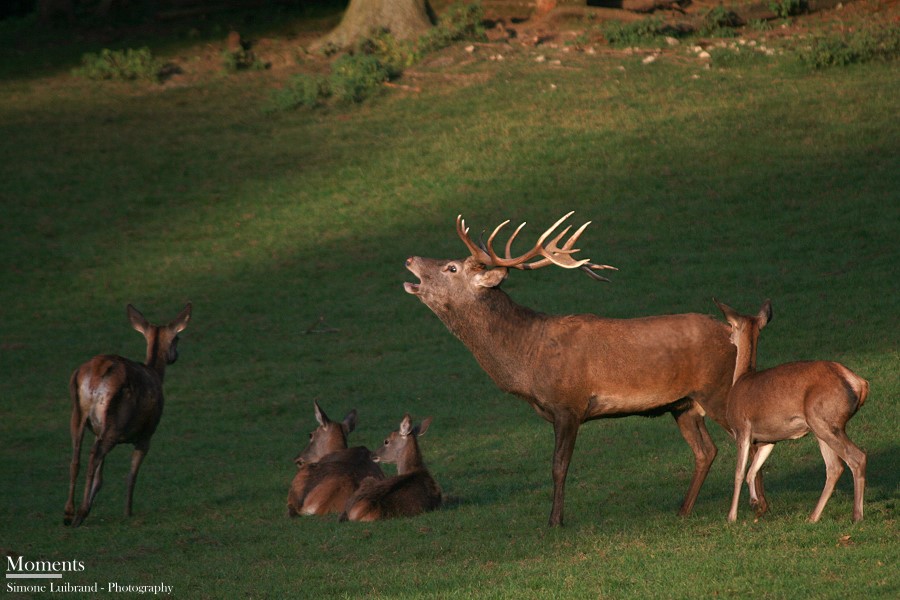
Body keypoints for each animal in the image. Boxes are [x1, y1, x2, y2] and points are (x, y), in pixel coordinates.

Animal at [63, 304, 192, 524]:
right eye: (177, 338)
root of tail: (97, 372)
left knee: (75, 459)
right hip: (116, 421)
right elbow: (131, 475)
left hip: (79, 414)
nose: (175, 356)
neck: (156, 374)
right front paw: (128, 511)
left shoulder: (97, 431)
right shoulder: (147, 433)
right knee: (94, 456)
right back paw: (81, 513)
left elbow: (100, 478)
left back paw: (69, 512)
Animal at [404, 212, 748, 524]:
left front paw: (554, 521)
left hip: (718, 389)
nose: (409, 259)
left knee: (745, 438)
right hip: (683, 404)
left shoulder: (568, 404)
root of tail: (735, 335)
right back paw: (683, 509)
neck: (527, 360)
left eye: (452, 267)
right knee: (706, 451)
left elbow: (559, 466)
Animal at [712, 298, 868, 520]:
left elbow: (739, 473)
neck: (741, 379)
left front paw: (732, 517)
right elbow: (753, 471)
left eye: (731, 325)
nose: (728, 337)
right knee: (834, 467)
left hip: (823, 421)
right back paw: (812, 518)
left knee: (856, 458)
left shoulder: (742, 428)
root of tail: (859, 383)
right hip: (822, 427)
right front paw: (756, 504)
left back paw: (856, 516)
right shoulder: (769, 439)